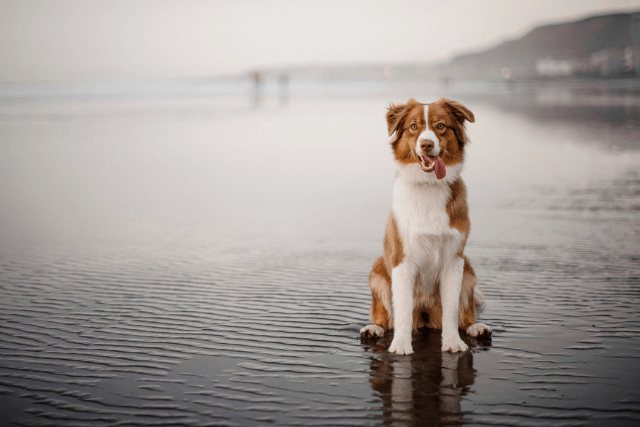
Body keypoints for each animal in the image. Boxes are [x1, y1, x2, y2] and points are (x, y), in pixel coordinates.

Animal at [360, 98, 490, 356]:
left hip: (468, 270)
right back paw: (374, 328)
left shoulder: (454, 259)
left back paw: (476, 327)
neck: (428, 186)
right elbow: (401, 309)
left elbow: (452, 308)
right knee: (385, 315)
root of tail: (425, 317)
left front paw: (452, 342)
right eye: (413, 126)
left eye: (440, 126)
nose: (427, 144)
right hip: (378, 271)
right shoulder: (402, 259)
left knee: (465, 314)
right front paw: (401, 345)